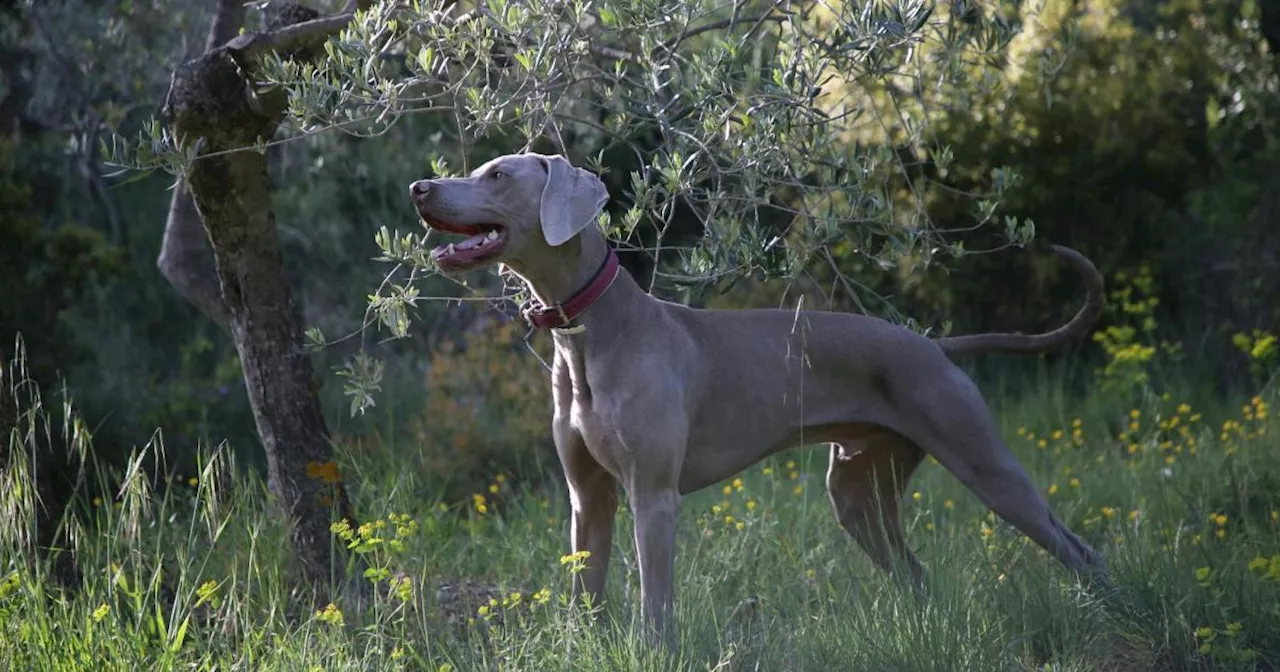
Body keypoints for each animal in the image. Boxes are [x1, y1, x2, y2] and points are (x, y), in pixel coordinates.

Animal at [409, 151, 1111, 640]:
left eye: (499, 174)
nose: (419, 188)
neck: (588, 332)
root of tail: (937, 346)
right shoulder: (587, 497)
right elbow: (588, 592)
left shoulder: (652, 496)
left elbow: (655, 605)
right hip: (857, 493)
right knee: (914, 572)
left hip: (984, 462)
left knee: (1078, 548)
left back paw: (1110, 612)